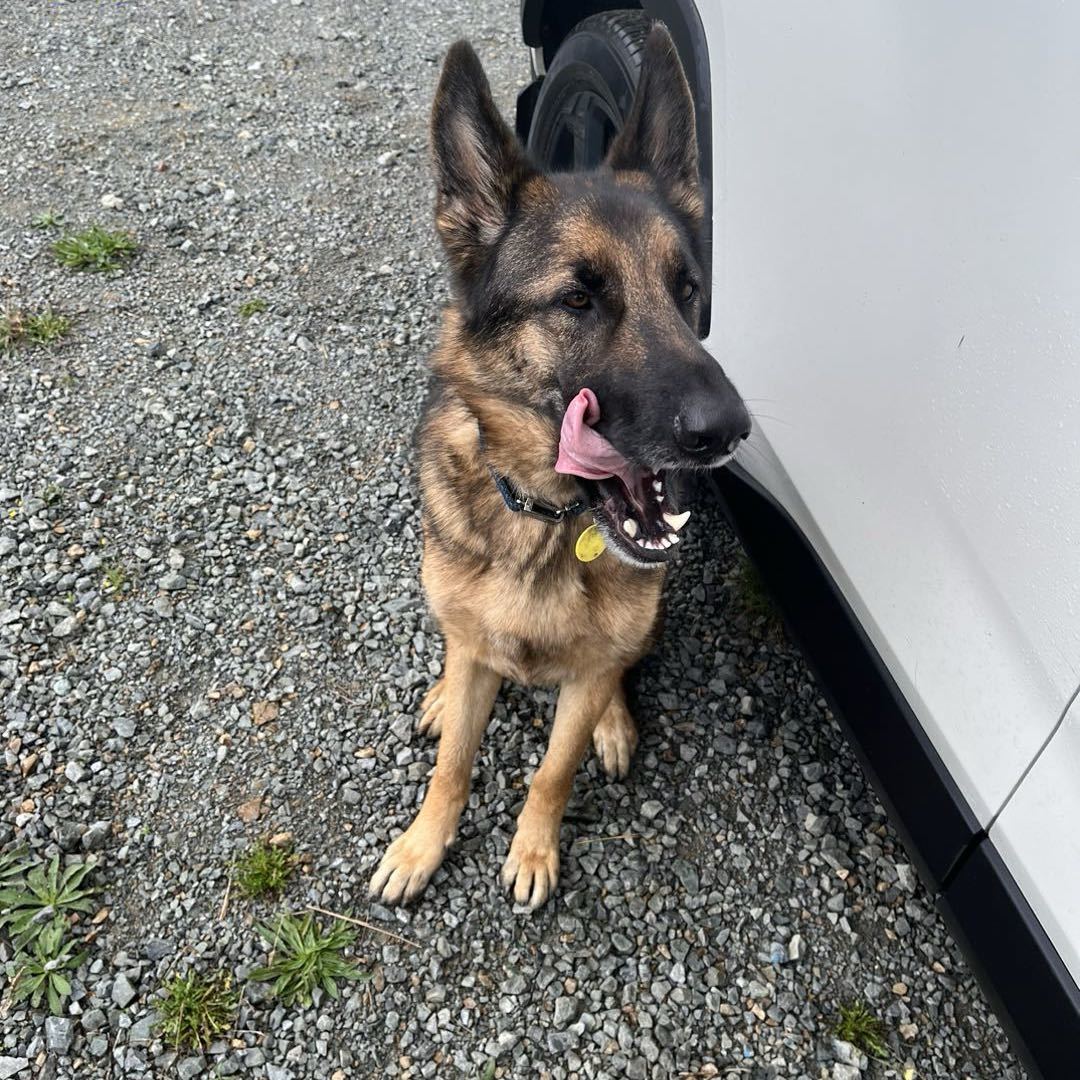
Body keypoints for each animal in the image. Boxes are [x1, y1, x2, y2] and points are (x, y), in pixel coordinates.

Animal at [369, 25, 750, 909]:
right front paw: (422, 845)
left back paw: (613, 719)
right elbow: (453, 766)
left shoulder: (585, 680)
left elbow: (552, 771)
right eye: (577, 300)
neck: (546, 524)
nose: (728, 430)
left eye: (688, 289)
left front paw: (534, 850)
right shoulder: (476, 649)